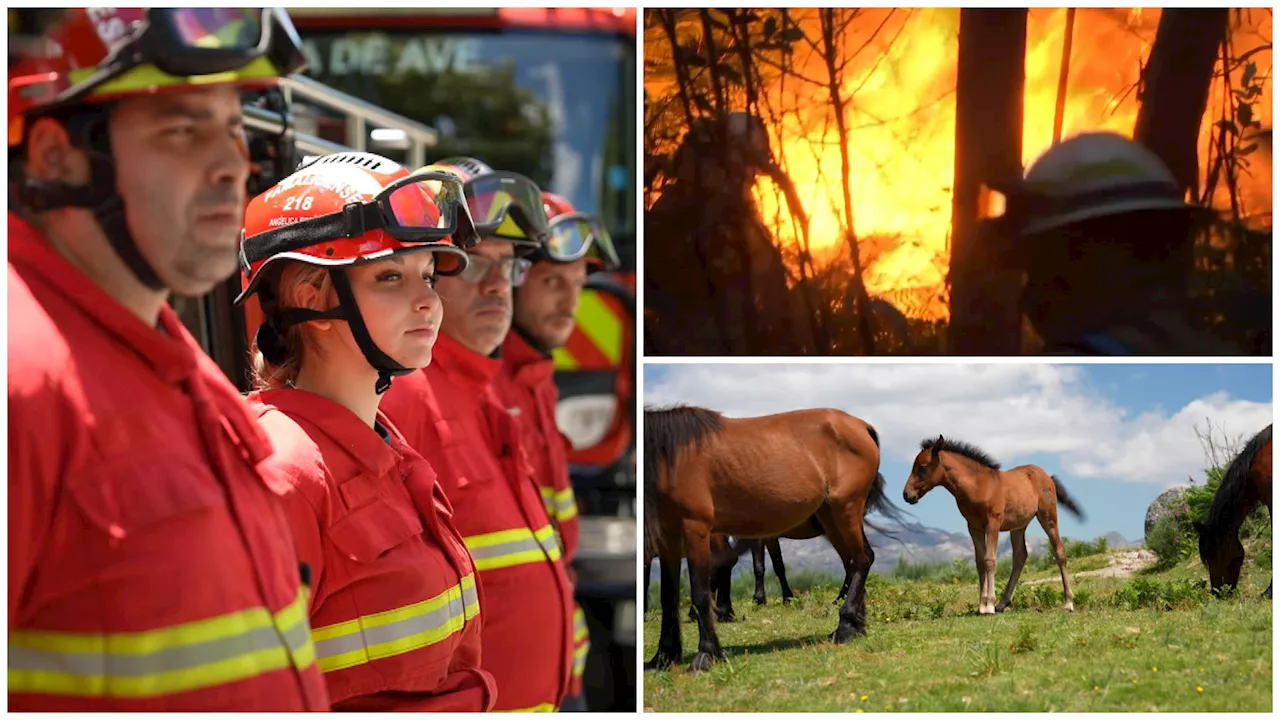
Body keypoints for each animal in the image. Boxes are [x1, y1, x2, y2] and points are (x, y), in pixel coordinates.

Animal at [640, 399, 901, 671]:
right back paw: (855, 625)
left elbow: (700, 592)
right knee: (854, 560)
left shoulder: (696, 528)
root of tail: (861, 425)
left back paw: (845, 627)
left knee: (862, 558)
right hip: (830, 515)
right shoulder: (668, 537)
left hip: (846, 507)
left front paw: (706, 655)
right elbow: (668, 597)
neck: (670, 455)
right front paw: (664, 656)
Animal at [901, 435, 1080, 614]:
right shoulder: (974, 527)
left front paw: (989, 605)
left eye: (922, 466)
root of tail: (1047, 476)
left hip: (1048, 517)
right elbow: (980, 562)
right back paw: (1003, 603)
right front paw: (982, 605)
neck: (978, 486)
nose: (906, 494)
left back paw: (1068, 603)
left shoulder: (993, 523)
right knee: (1020, 556)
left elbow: (990, 560)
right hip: (1018, 526)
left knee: (1059, 551)